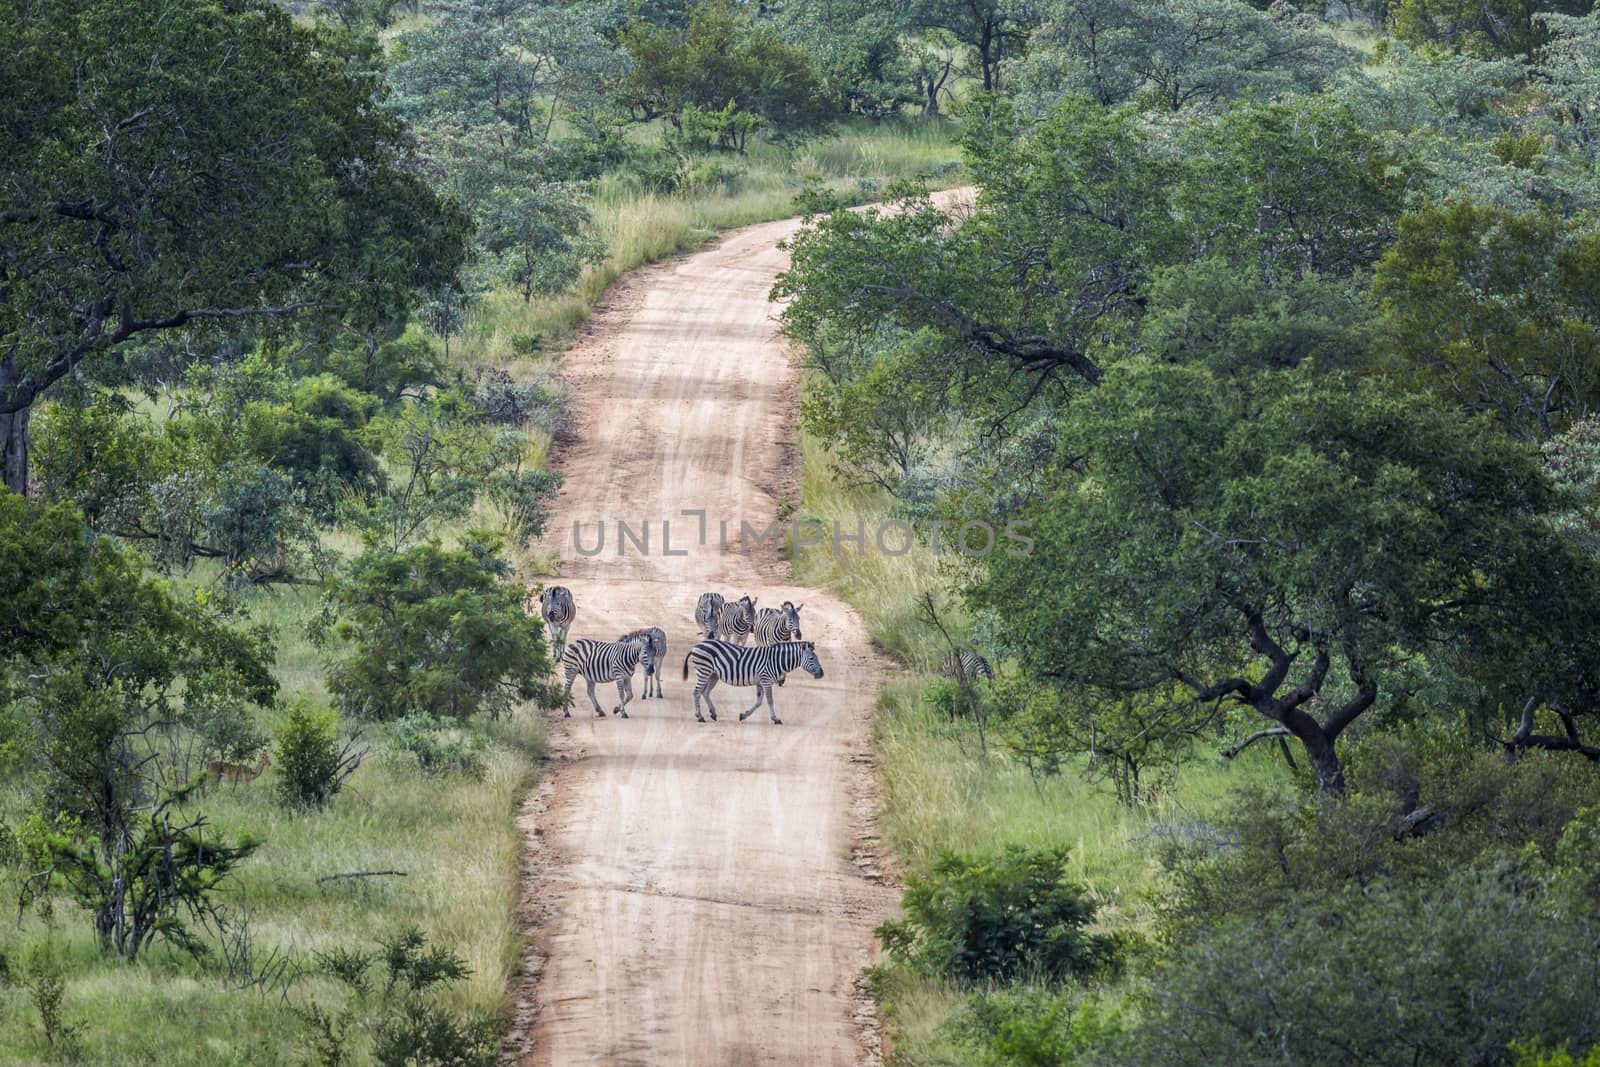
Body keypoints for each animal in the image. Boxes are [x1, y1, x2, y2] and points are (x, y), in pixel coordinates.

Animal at [678, 643, 825, 726]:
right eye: (812, 658)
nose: (822, 674)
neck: (776, 661)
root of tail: (697, 645)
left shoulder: (760, 682)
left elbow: (759, 702)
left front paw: (743, 715)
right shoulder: (766, 680)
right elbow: (770, 701)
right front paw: (775, 719)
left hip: (713, 674)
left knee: (705, 692)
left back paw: (713, 713)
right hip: (704, 670)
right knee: (697, 692)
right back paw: (700, 717)